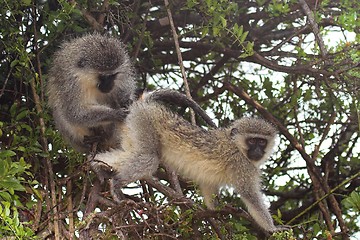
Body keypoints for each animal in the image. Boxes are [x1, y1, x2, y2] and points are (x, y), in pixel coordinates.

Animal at [47, 33, 217, 152]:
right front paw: (115, 114)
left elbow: (125, 86)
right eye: (103, 76)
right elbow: (74, 113)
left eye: (113, 76)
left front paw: (126, 100)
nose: (109, 85)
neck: (86, 79)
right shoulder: (71, 85)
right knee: (62, 114)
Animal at [95, 95, 290, 232]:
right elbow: (251, 196)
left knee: (131, 153)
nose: (257, 151)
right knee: (149, 157)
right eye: (252, 141)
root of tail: (147, 106)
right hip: (145, 122)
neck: (236, 146)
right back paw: (116, 184)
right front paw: (273, 229)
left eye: (262, 142)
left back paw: (97, 165)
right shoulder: (242, 166)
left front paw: (218, 211)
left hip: (133, 126)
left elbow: (209, 188)